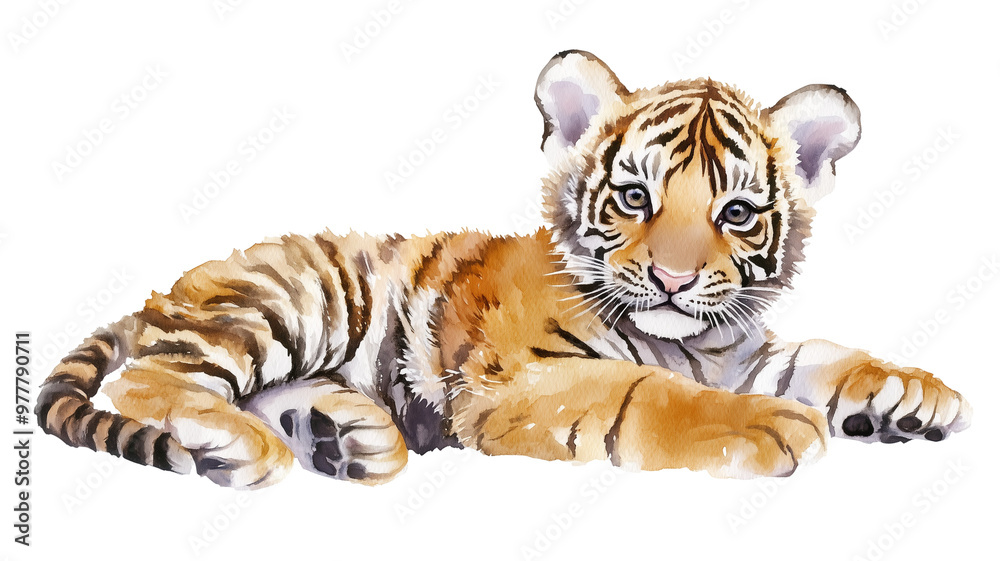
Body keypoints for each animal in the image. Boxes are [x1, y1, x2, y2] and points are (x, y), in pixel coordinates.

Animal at [36, 50, 972, 489]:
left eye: (735, 214)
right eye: (634, 198)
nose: (673, 280)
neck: (692, 342)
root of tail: (176, 285)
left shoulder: (740, 347)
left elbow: (821, 354)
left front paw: (914, 393)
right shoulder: (519, 377)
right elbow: (644, 391)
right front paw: (771, 424)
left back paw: (343, 434)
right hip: (299, 298)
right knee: (155, 378)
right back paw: (251, 445)